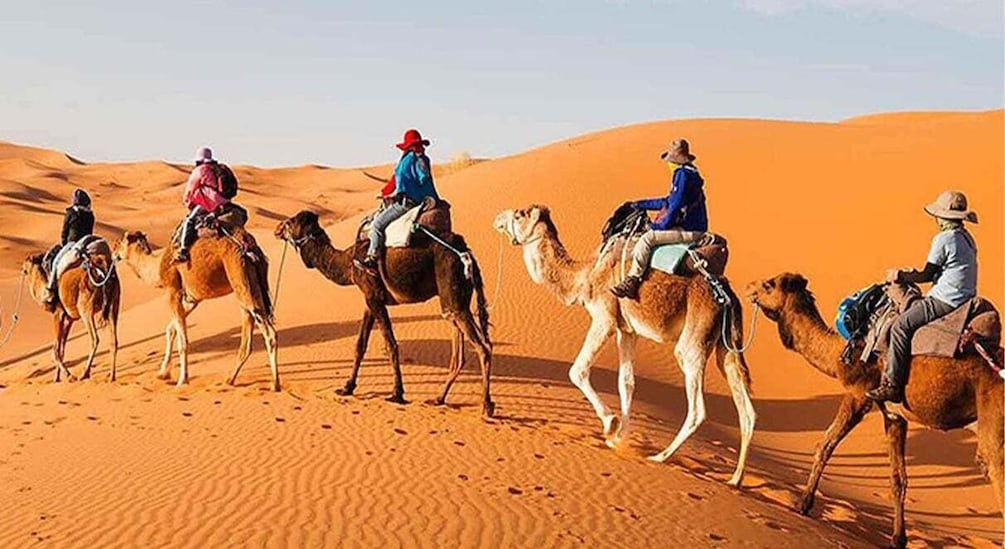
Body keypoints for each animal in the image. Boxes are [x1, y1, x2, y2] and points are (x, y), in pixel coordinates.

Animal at [22, 239, 119, 380]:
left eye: (25, 268)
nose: (22, 270)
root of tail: (103, 270)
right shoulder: (69, 319)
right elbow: (61, 348)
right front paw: (57, 377)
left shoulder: (58, 314)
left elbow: (56, 350)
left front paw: (68, 375)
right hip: (114, 304)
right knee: (114, 341)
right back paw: (111, 376)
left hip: (85, 308)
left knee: (95, 339)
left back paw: (85, 373)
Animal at [112, 228, 279, 390]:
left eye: (120, 242)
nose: (113, 253)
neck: (158, 265)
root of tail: (250, 246)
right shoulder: (192, 299)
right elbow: (170, 329)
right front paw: (163, 373)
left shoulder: (173, 291)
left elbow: (183, 341)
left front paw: (182, 380)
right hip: (252, 286)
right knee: (248, 335)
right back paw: (230, 379)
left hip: (240, 277)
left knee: (269, 333)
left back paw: (275, 384)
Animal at [275, 209, 494, 414]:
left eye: (291, 222)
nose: (277, 229)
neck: (348, 262)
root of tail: (466, 252)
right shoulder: (369, 299)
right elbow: (360, 344)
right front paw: (347, 387)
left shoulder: (374, 297)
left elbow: (391, 344)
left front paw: (397, 393)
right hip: (455, 302)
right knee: (461, 351)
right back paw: (439, 399)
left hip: (452, 293)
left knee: (483, 346)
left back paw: (486, 406)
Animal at [494, 204, 755, 482]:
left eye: (519, 214)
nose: (497, 218)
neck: (585, 275)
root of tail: (728, 296)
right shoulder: (627, 330)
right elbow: (626, 383)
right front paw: (620, 439)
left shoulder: (604, 319)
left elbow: (577, 371)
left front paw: (611, 425)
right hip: (726, 346)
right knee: (746, 409)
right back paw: (735, 479)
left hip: (694, 339)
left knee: (697, 408)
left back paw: (659, 457)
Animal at [743, 271, 1000, 542]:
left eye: (768, 284)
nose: (748, 287)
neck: (840, 353)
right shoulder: (894, 414)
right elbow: (898, 478)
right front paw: (898, 538)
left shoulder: (859, 393)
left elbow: (824, 445)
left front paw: (803, 504)